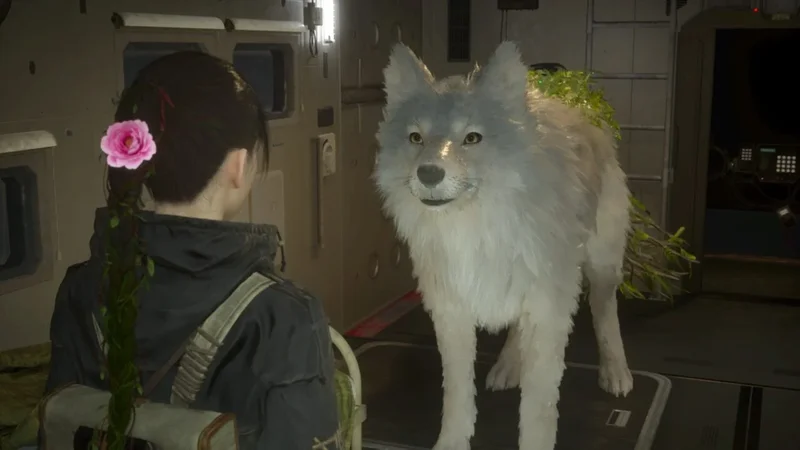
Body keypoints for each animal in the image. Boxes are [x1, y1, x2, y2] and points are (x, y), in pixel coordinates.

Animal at [373, 41, 634, 450]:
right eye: (415, 138)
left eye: (472, 138)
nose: (428, 173)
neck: (475, 233)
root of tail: (576, 104)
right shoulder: (452, 314)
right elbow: (457, 397)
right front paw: (451, 442)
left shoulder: (548, 314)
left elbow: (538, 410)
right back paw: (509, 366)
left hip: (601, 266)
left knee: (605, 312)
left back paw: (615, 372)